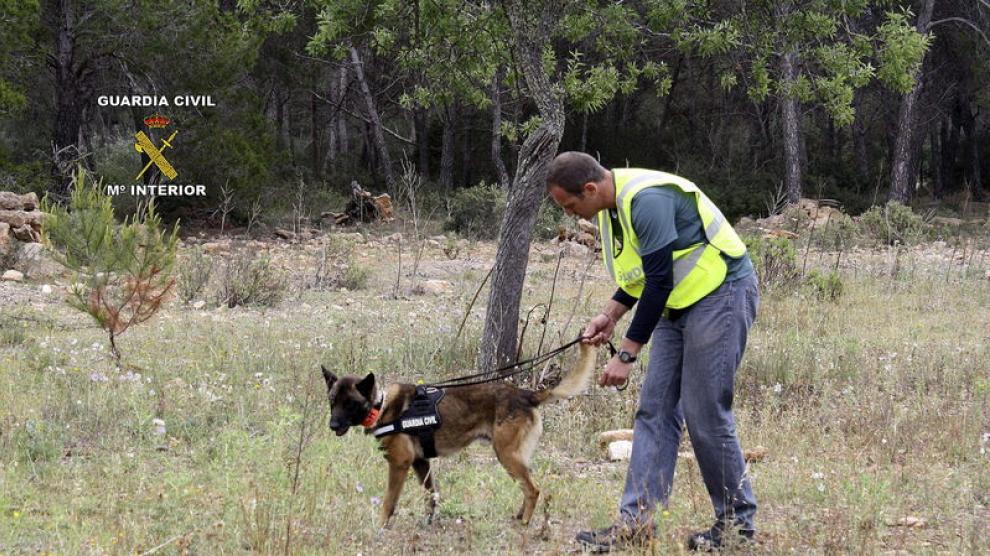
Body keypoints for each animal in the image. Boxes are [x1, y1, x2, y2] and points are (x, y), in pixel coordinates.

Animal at [324, 344, 596, 528]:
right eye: (332, 401)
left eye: (350, 404)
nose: (332, 424)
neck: (381, 407)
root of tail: (526, 394)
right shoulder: (421, 463)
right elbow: (431, 495)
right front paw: (430, 521)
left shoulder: (400, 464)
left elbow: (389, 501)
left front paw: (380, 526)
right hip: (515, 457)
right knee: (527, 486)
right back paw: (519, 516)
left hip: (507, 455)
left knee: (533, 490)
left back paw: (525, 522)